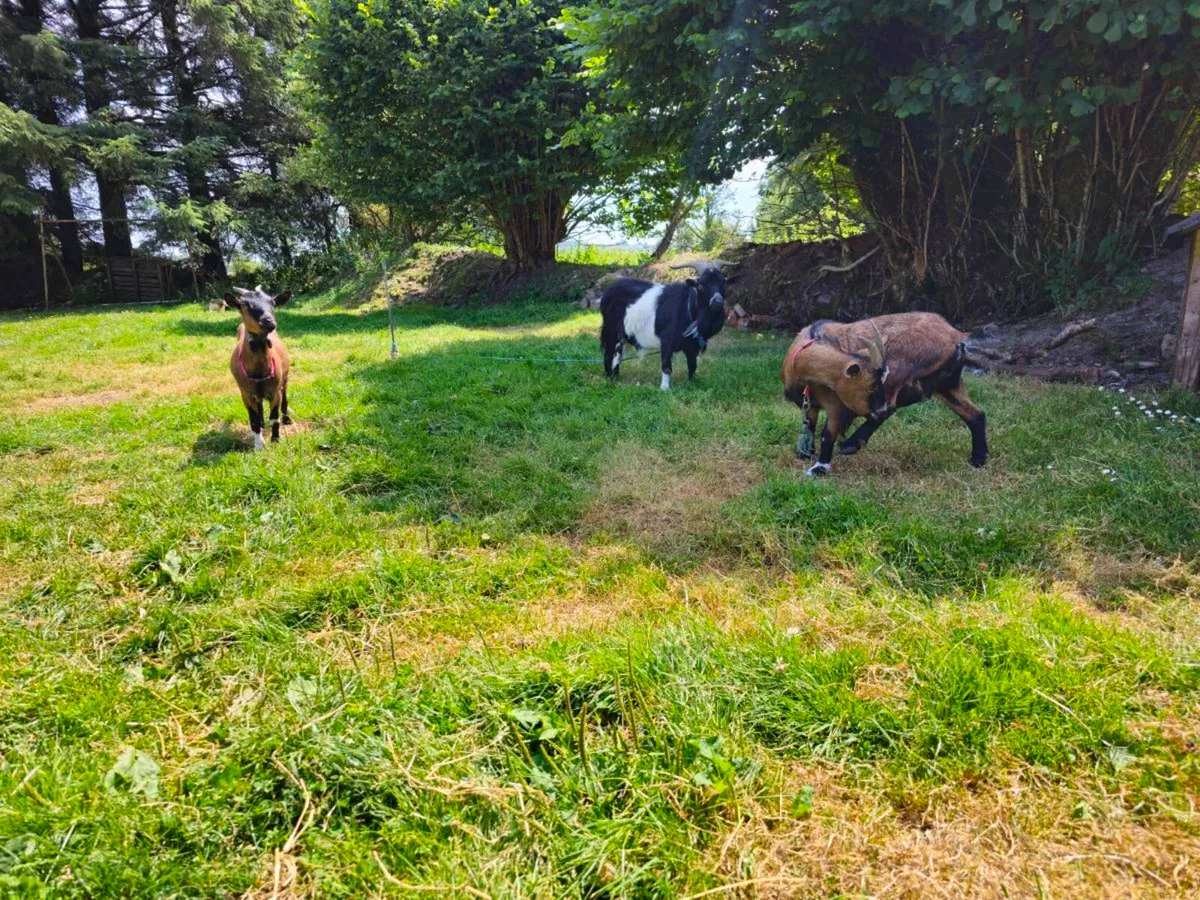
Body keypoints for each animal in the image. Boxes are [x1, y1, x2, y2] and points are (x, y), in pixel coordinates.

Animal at [224, 285, 292, 450]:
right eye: (245, 305)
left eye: (273, 303)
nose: (268, 322)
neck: (259, 371)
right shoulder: (246, 394)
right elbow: (253, 421)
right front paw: (259, 444)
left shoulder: (274, 392)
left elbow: (274, 418)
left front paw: (275, 439)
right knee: (260, 405)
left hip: (285, 378)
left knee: (285, 396)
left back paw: (287, 418)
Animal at [599, 259, 731, 390]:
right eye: (700, 285)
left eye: (723, 285)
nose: (717, 301)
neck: (686, 308)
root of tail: (607, 291)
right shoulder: (666, 340)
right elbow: (666, 365)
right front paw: (664, 388)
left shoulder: (691, 346)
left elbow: (692, 365)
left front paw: (692, 383)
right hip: (612, 331)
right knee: (610, 354)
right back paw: (611, 379)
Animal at [781, 312, 987, 476]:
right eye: (871, 385)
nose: (879, 407)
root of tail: (957, 336)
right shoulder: (810, 405)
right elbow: (809, 426)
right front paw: (805, 454)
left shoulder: (836, 406)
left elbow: (827, 434)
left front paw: (819, 468)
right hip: (946, 386)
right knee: (976, 414)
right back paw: (978, 460)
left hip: (902, 371)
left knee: (891, 408)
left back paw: (850, 445)